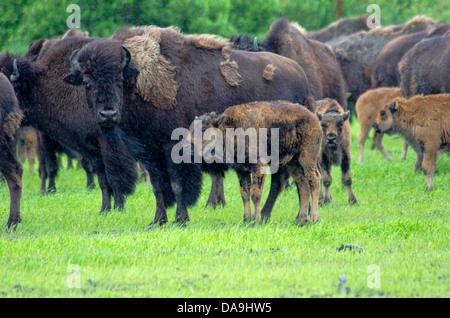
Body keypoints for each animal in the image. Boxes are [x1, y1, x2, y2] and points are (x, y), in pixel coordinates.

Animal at [187, 100, 324, 225]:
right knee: (303, 184)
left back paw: (314, 218)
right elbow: (244, 194)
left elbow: (255, 193)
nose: (186, 146)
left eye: (203, 130)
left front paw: (256, 221)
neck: (229, 128)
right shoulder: (241, 170)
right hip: (292, 163)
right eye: (190, 128)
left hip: (307, 158)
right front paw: (246, 220)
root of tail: (313, 118)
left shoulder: (259, 166)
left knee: (315, 180)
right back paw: (302, 220)